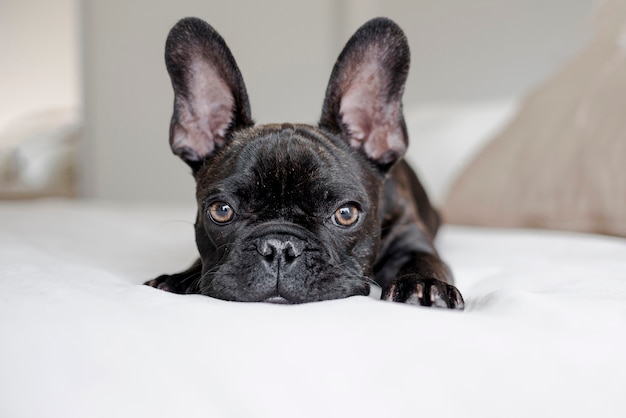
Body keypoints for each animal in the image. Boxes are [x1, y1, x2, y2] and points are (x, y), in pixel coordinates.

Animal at [144, 16, 460, 308]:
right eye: (221, 211)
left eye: (346, 214)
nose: (279, 247)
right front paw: (179, 278)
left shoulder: (410, 236)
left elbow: (423, 260)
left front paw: (424, 285)